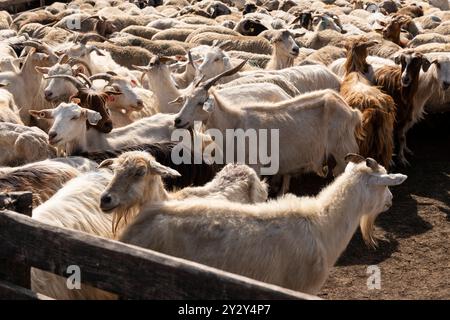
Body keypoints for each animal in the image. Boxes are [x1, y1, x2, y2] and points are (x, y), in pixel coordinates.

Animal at [172, 62, 362, 192]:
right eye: (185, 99)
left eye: (201, 102)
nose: (178, 120)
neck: (234, 123)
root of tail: (352, 112)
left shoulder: (255, 165)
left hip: (343, 152)